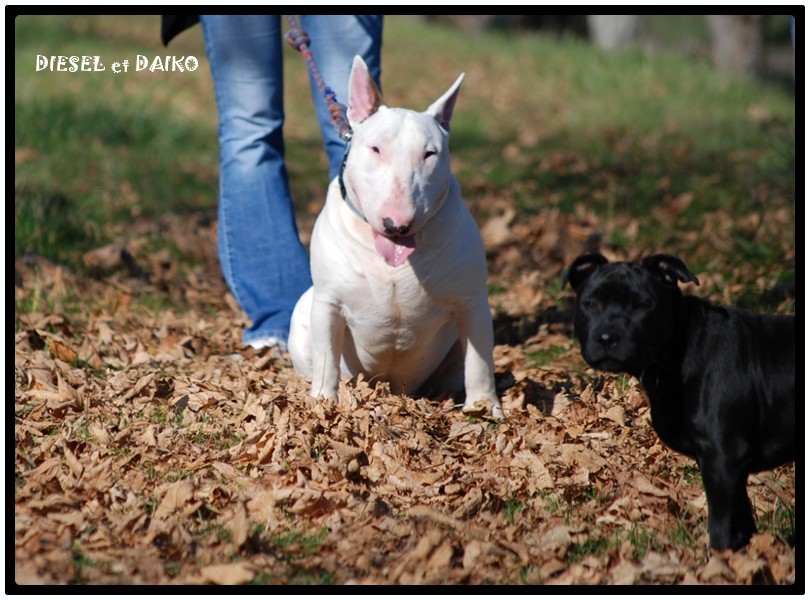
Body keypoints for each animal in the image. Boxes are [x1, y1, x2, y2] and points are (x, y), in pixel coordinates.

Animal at [564, 251, 792, 552]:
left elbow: (721, 528)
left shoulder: (722, 459)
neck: (677, 348)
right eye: (590, 303)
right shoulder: (732, 470)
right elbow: (741, 524)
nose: (607, 337)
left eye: (642, 305)